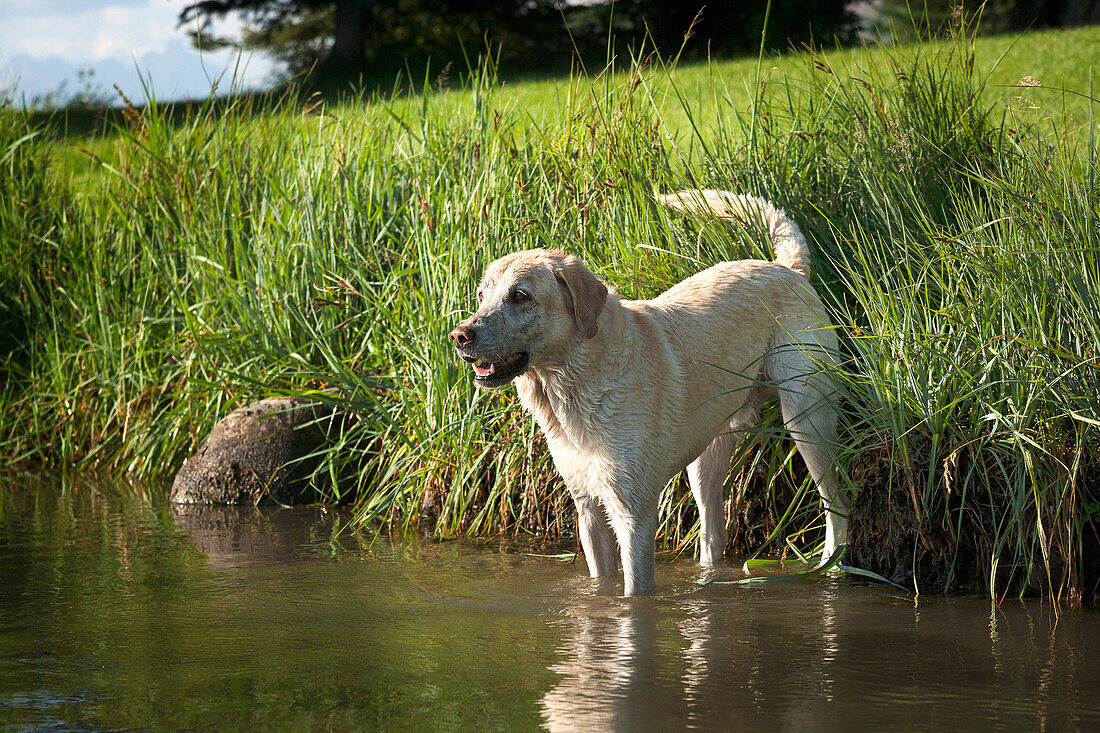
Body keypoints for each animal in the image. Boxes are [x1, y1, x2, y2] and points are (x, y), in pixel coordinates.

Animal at [451, 189, 844, 594]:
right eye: (481, 295)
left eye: (519, 296)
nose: (459, 335)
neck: (573, 386)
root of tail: (788, 269)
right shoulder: (588, 510)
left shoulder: (633, 514)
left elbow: (634, 590)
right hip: (706, 457)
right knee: (713, 531)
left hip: (807, 422)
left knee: (837, 503)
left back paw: (832, 565)